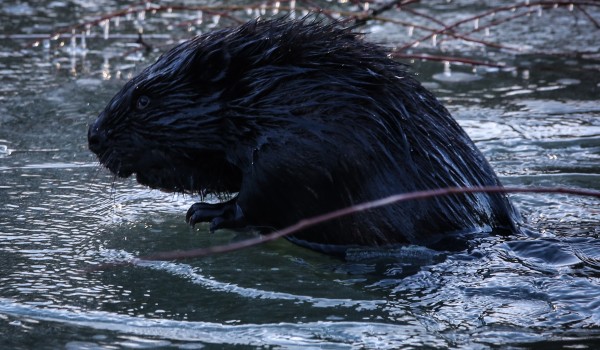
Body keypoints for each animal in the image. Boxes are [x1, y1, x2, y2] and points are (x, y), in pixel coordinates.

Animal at [88, 16, 520, 254]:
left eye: (143, 100)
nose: (93, 136)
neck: (264, 92)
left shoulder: (304, 143)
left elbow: (267, 191)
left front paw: (205, 213)